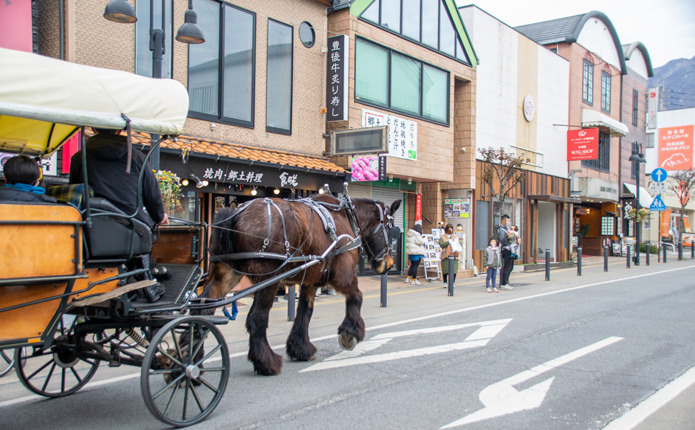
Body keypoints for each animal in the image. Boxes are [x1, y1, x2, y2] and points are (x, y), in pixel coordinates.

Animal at [201, 193, 401, 375]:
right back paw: (267, 362)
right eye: (390, 228)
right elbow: (357, 296)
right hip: (268, 280)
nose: (389, 264)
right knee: (257, 318)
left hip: (226, 273)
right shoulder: (342, 275)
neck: (346, 216)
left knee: (205, 310)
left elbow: (305, 312)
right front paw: (350, 332)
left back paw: (197, 360)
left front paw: (300, 348)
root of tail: (236, 213)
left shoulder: (311, 281)